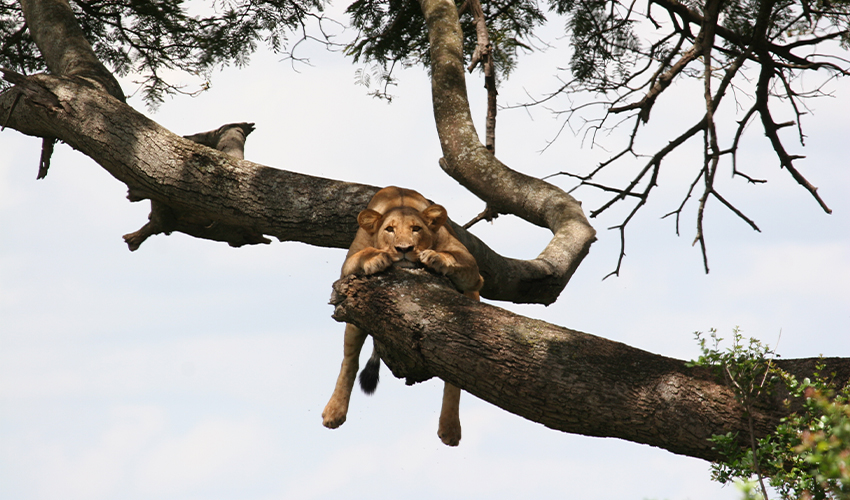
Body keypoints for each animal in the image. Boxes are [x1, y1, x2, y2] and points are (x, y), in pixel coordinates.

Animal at [320, 187, 480, 446]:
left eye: (416, 229)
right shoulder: (346, 268)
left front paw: (435, 257)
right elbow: (364, 254)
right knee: (349, 360)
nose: (404, 249)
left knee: (455, 374)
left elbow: (453, 258)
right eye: (389, 229)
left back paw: (449, 427)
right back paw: (334, 411)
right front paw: (377, 258)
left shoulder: (474, 272)